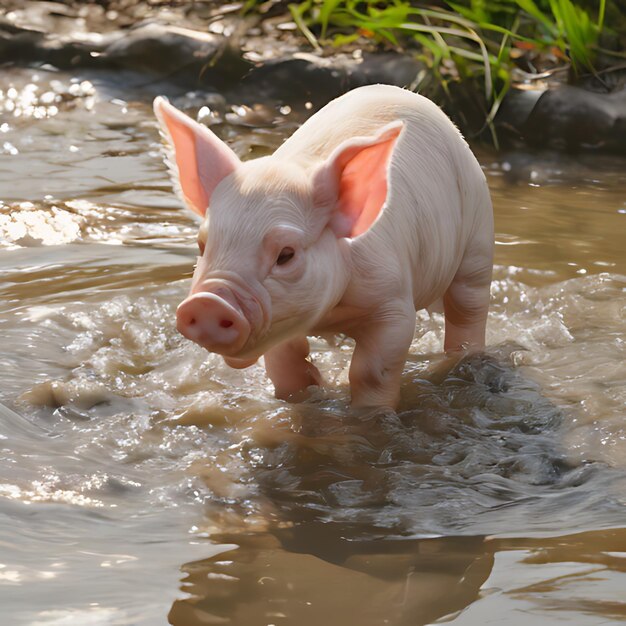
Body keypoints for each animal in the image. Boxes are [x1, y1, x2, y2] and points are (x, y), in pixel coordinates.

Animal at [152, 85, 492, 410]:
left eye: (286, 255)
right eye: (202, 245)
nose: (207, 302)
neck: (330, 315)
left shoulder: (393, 300)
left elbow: (371, 370)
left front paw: (369, 411)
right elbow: (285, 363)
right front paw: (306, 393)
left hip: (477, 236)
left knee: (468, 308)